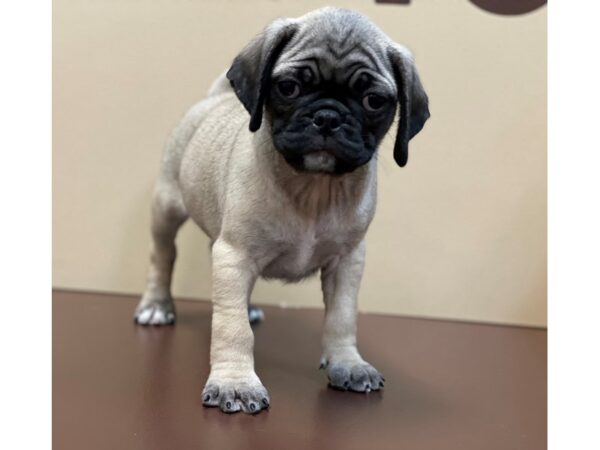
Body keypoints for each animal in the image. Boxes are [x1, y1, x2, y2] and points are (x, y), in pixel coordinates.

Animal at [134, 7, 428, 414]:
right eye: (288, 88)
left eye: (373, 100)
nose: (327, 116)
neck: (315, 187)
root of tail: (214, 99)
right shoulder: (235, 254)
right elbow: (232, 328)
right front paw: (236, 383)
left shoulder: (347, 262)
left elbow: (342, 317)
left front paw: (347, 363)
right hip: (167, 208)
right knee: (162, 256)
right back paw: (157, 305)